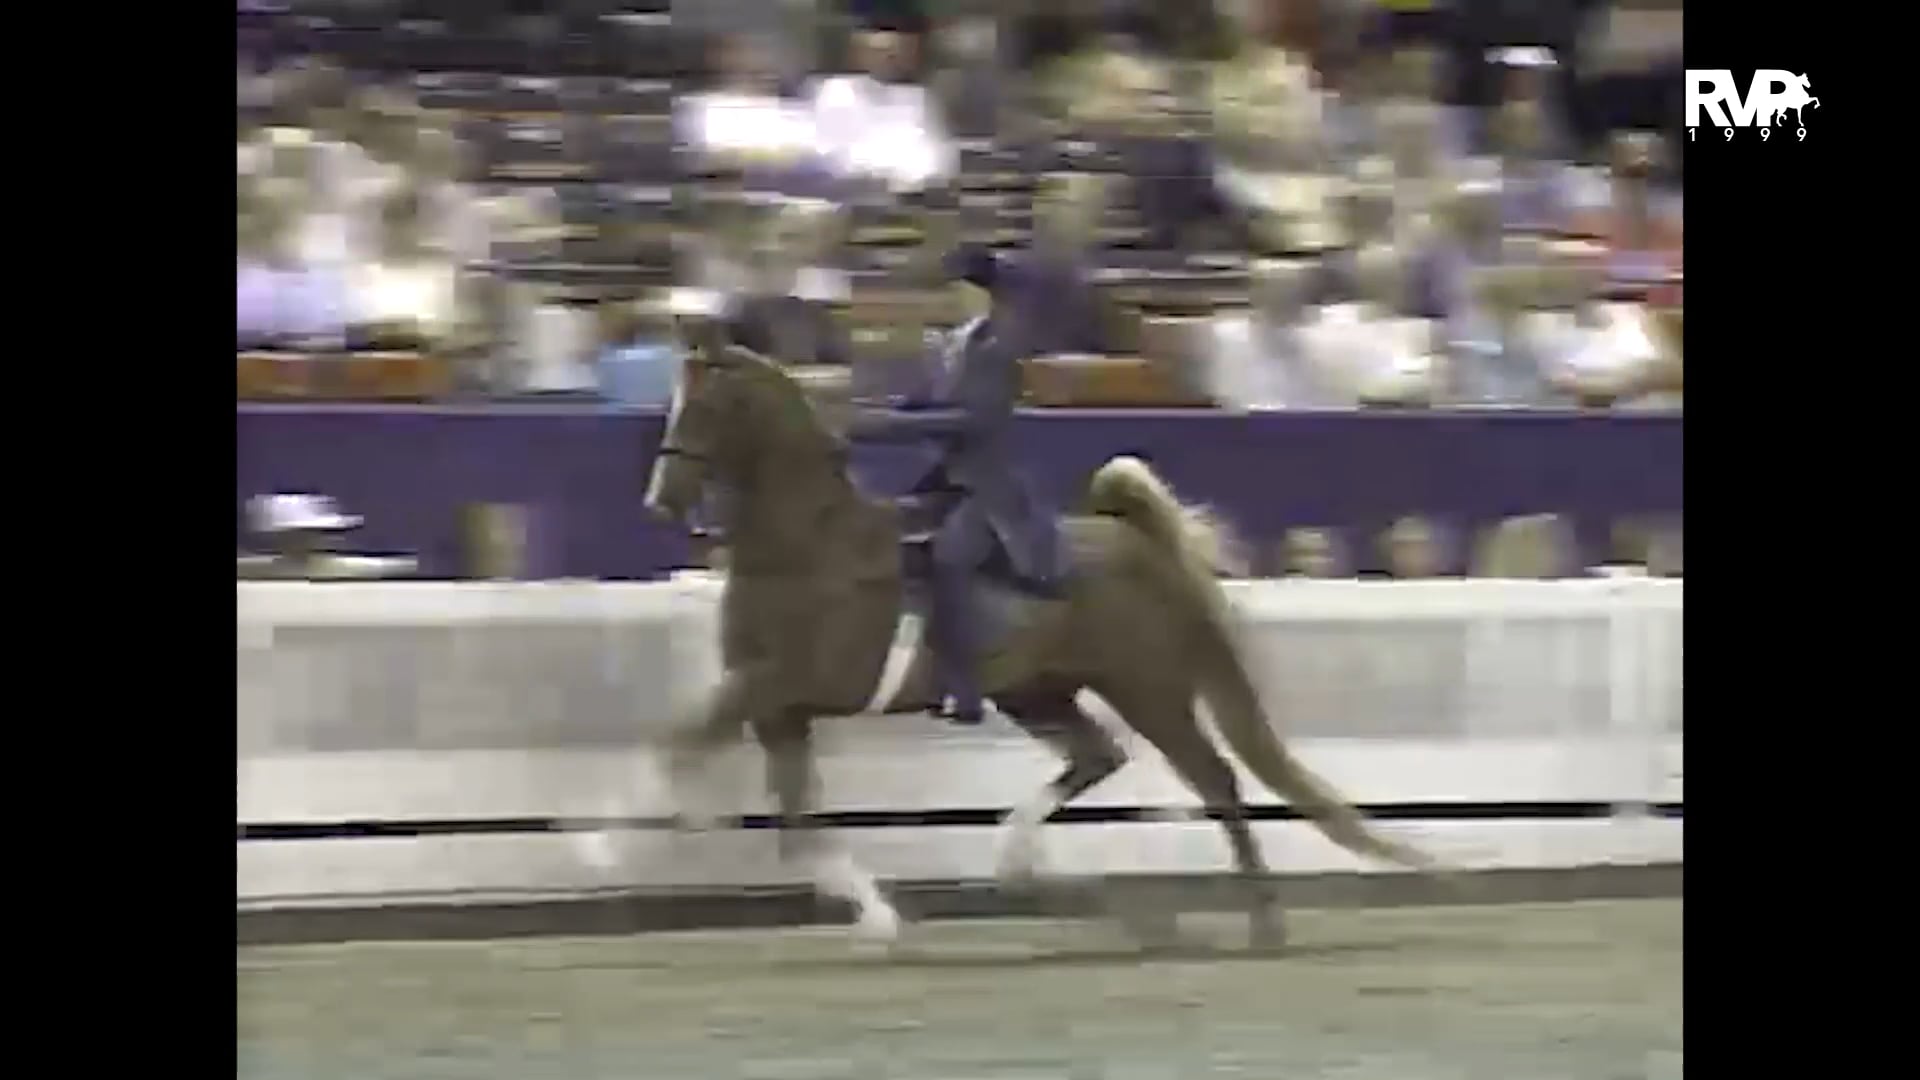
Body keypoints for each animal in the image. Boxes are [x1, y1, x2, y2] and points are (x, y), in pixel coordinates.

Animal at [641, 336, 1436, 946]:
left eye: (707, 406)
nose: (662, 500)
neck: (807, 544)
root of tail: (1134, 538)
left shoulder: (784, 685)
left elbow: (683, 749)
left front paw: (638, 834)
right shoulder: (777, 707)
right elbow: (795, 823)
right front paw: (877, 917)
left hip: (1146, 689)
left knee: (1213, 779)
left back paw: (1261, 922)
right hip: (1039, 691)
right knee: (1098, 758)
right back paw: (1030, 864)